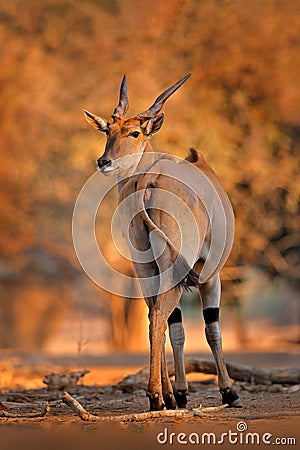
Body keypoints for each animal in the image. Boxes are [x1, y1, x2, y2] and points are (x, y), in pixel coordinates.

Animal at [83, 74, 243, 412]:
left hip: (146, 269)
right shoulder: (210, 276)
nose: (103, 161)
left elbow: (177, 327)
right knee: (160, 316)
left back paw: (164, 396)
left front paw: (179, 394)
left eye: (133, 131)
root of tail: (149, 180)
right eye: (108, 131)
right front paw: (228, 393)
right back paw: (156, 395)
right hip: (178, 269)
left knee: (156, 316)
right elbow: (211, 329)